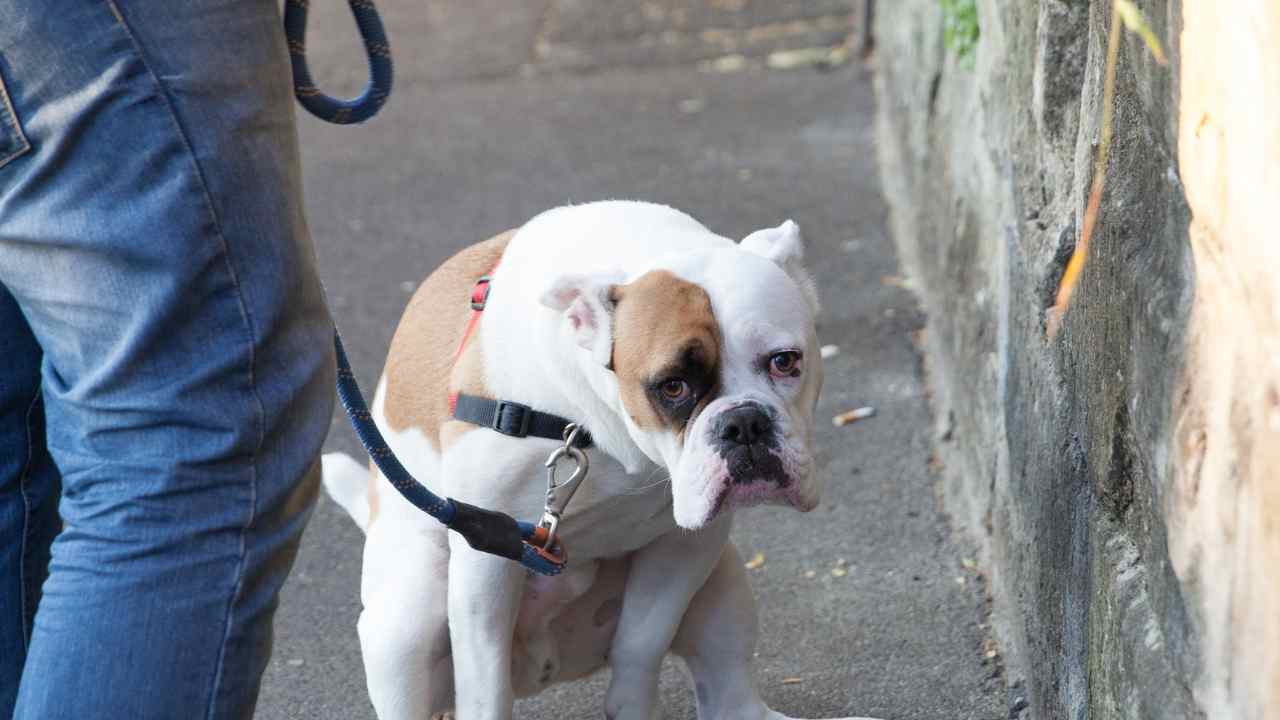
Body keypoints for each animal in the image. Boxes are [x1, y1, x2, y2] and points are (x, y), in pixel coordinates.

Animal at [322, 197, 880, 717]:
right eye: (672, 387)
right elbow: (484, 689)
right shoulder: (487, 564)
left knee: (729, 693)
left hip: (725, 579)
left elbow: (641, 643)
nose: (743, 423)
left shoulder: (686, 544)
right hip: (408, 620)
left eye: (786, 361)